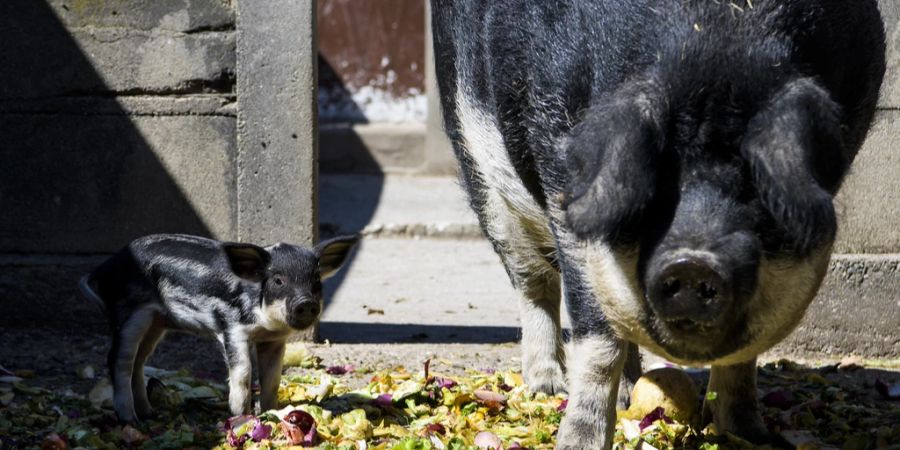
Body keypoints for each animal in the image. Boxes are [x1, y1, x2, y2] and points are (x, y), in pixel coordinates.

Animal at [78, 234, 358, 424]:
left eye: (316, 280)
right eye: (278, 280)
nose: (306, 303)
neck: (265, 322)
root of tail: (106, 267)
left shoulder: (274, 340)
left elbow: (272, 377)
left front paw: (271, 413)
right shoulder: (232, 328)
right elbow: (243, 373)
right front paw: (241, 417)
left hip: (156, 323)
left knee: (139, 361)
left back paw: (149, 414)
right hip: (129, 315)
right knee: (119, 360)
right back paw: (130, 420)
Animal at [430, 0, 884, 446]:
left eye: (753, 182)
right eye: (658, 177)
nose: (694, 262)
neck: (717, 37)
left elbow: (742, 355)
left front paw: (752, 438)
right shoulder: (561, 164)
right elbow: (597, 335)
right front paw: (577, 442)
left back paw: (629, 392)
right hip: (476, 153)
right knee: (532, 280)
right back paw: (548, 388)